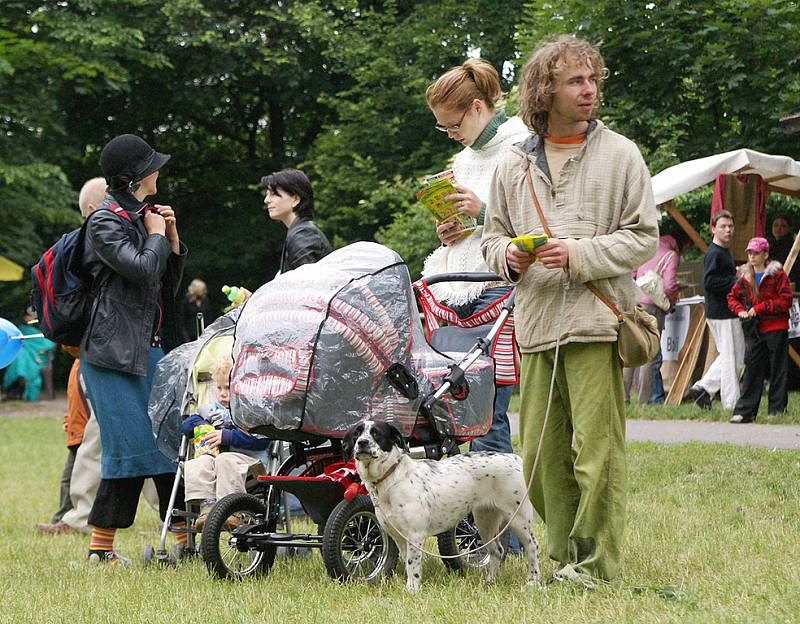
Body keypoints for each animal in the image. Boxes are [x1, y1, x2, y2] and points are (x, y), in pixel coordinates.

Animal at [340, 420, 540, 588]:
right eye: (357, 433)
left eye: (376, 433)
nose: (362, 443)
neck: (392, 479)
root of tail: (516, 459)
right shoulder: (398, 537)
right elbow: (407, 563)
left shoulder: (415, 535)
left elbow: (413, 565)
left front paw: (413, 590)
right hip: (485, 520)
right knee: (497, 550)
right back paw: (489, 582)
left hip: (518, 517)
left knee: (533, 547)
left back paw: (533, 582)